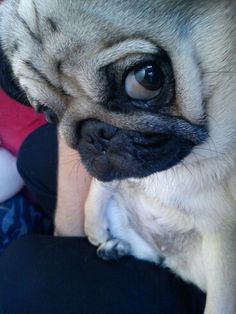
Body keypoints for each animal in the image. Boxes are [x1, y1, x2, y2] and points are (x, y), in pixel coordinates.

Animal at [0, 0, 236, 312]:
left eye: (148, 78)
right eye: (49, 114)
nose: (93, 133)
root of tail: (173, 260)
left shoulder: (224, 240)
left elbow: (221, 301)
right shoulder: (115, 173)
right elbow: (98, 189)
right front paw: (94, 228)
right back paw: (115, 247)